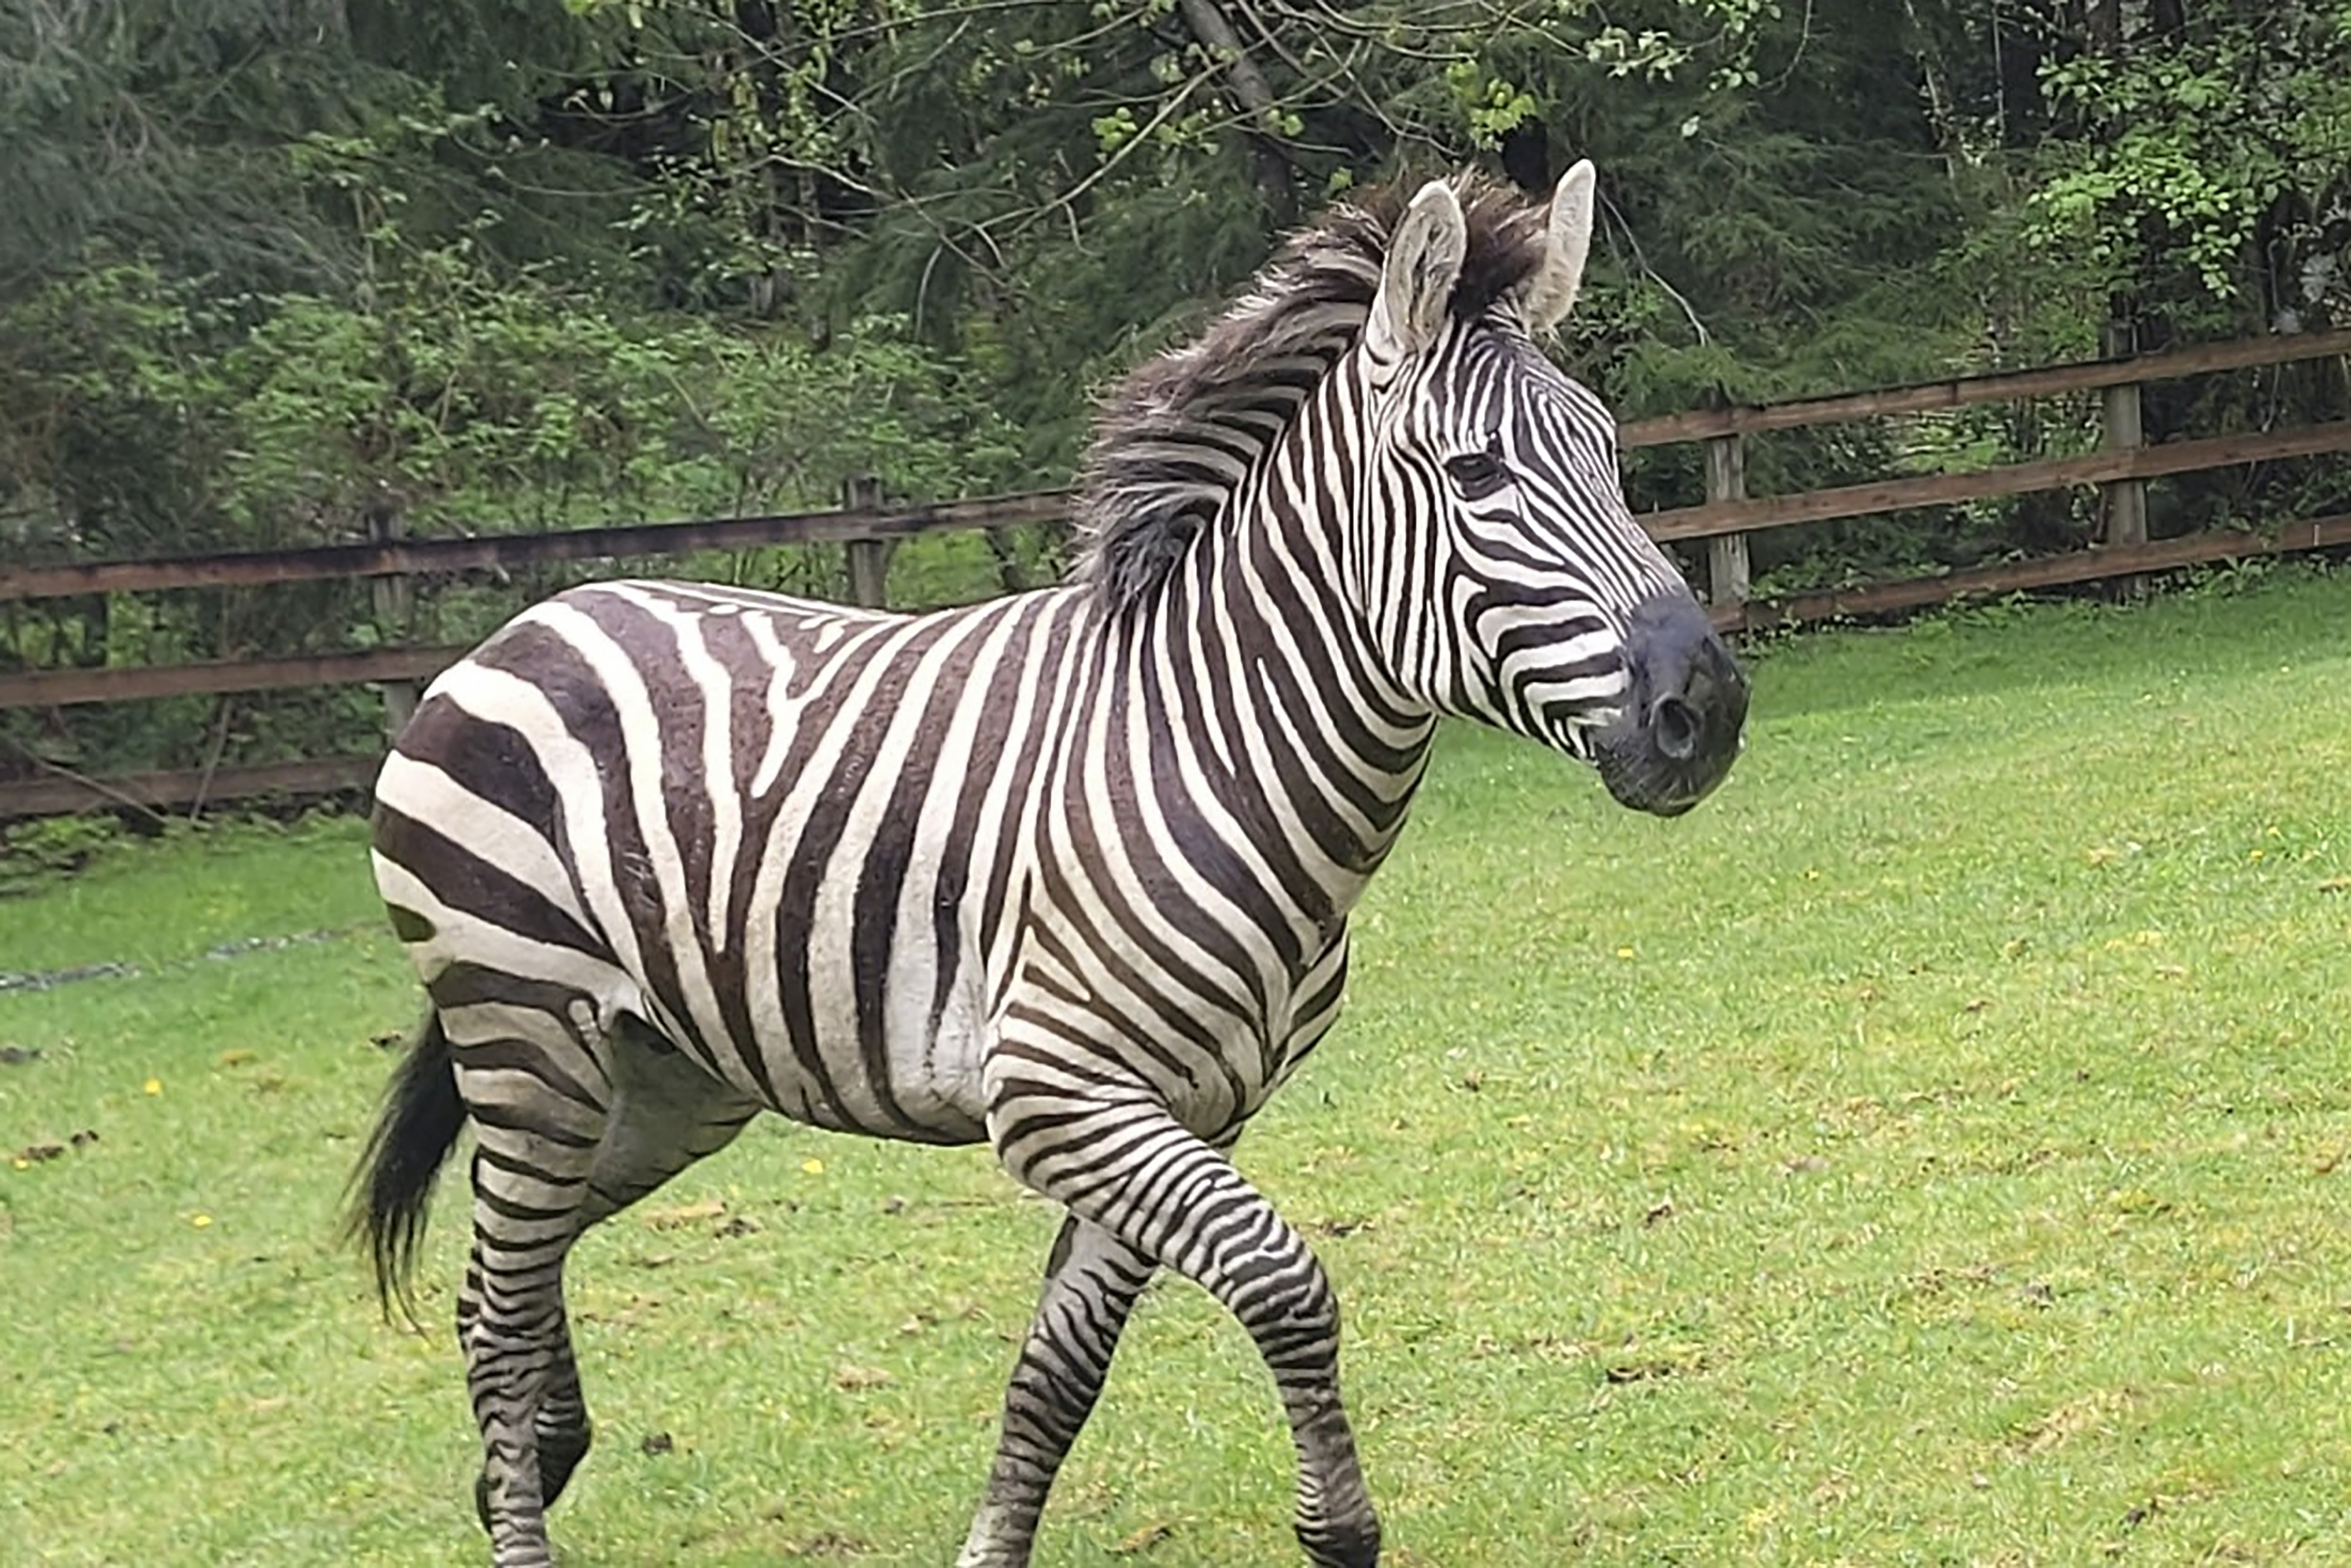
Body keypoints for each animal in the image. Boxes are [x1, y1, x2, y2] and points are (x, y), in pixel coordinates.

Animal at [348, 162, 1749, 1568]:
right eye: (1475, 474)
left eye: (1611, 455)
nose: (1712, 706)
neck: (1214, 748)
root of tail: (522, 625)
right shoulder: (1056, 1090)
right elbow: (1284, 1276)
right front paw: (1340, 1525)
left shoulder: (1189, 1108)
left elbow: (1058, 1373)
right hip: (528, 1030)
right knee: (500, 1300)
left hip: (665, 1074)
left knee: (509, 1266)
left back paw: (537, 1452)